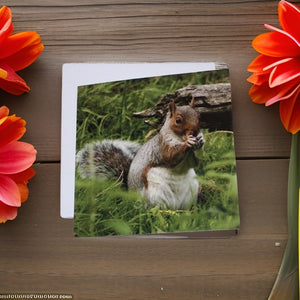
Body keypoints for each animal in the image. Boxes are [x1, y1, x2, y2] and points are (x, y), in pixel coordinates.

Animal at [76, 98, 205, 209]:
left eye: (199, 116)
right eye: (178, 120)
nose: (195, 132)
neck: (179, 138)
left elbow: (195, 162)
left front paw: (201, 140)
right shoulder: (161, 147)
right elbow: (171, 156)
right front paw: (188, 142)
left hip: (192, 189)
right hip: (157, 192)